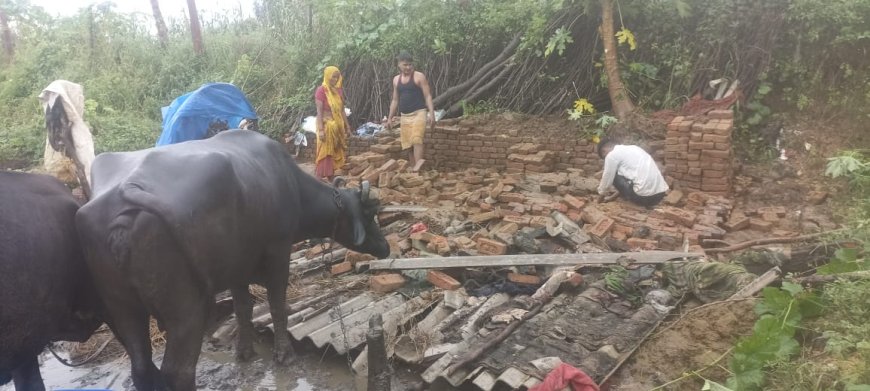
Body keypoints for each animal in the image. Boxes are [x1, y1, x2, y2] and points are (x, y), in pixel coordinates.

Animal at [78, 131, 392, 391]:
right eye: (369, 213)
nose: (385, 247)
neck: (290, 184)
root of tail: (126, 191)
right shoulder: (279, 252)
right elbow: (277, 306)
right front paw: (284, 355)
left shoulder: (237, 268)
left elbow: (243, 308)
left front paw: (244, 351)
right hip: (184, 311)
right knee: (178, 371)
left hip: (122, 309)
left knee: (141, 366)